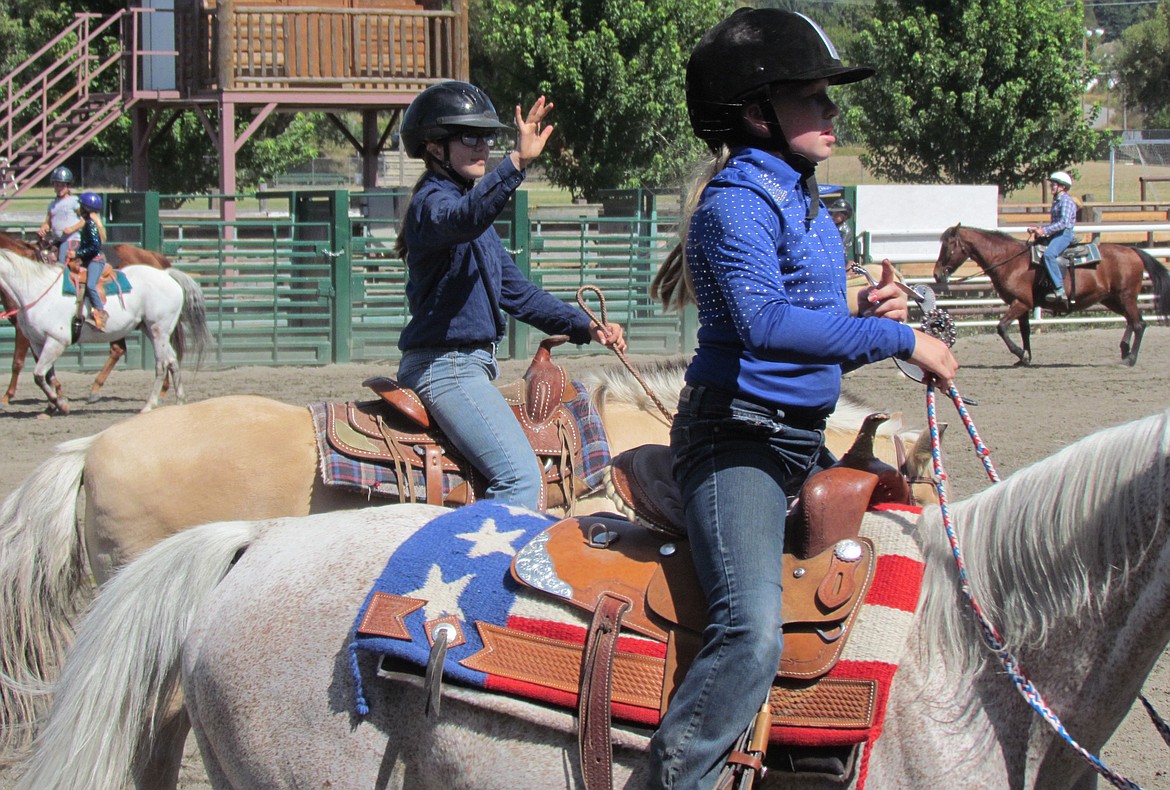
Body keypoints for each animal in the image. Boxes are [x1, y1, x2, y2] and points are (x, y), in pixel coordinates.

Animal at [0, 231, 208, 414]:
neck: (36, 289)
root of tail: (166, 274)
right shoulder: (37, 342)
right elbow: (46, 376)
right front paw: (54, 405)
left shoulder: (56, 341)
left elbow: (35, 373)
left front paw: (60, 404)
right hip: (152, 329)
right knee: (171, 360)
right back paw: (179, 402)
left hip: (159, 329)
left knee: (161, 363)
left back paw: (148, 405)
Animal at [931, 223, 1170, 365]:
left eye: (948, 246)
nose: (936, 274)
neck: (1011, 261)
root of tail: (1132, 250)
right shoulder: (1023, 305)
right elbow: (1025, 331)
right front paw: (1025, 358)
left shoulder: (1021, 302)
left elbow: (1001, 327)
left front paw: (1019, 353)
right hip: (1113, 299)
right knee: (1131, 321)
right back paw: (1124, 350)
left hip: (1126, 296)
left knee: (1139, 323)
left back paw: (1130, 358)